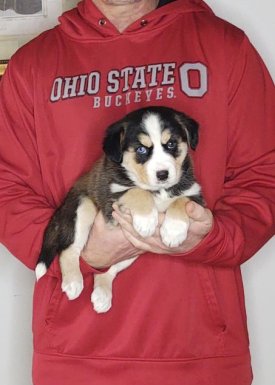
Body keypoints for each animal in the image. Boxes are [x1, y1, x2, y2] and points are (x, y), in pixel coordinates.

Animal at [35, 106, 205, 312]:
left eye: (171, 144)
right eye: (141, 149)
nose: (163, 174)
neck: (160, 190)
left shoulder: (195, 194)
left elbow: (180, 201)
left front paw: (173, 232)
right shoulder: (112, 196)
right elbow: (137, 191)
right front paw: (147, 221)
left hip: (134, 251)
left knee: (108, 269)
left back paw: (102, 294)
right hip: (82, 209)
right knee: (69, 250)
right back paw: (73, 282)